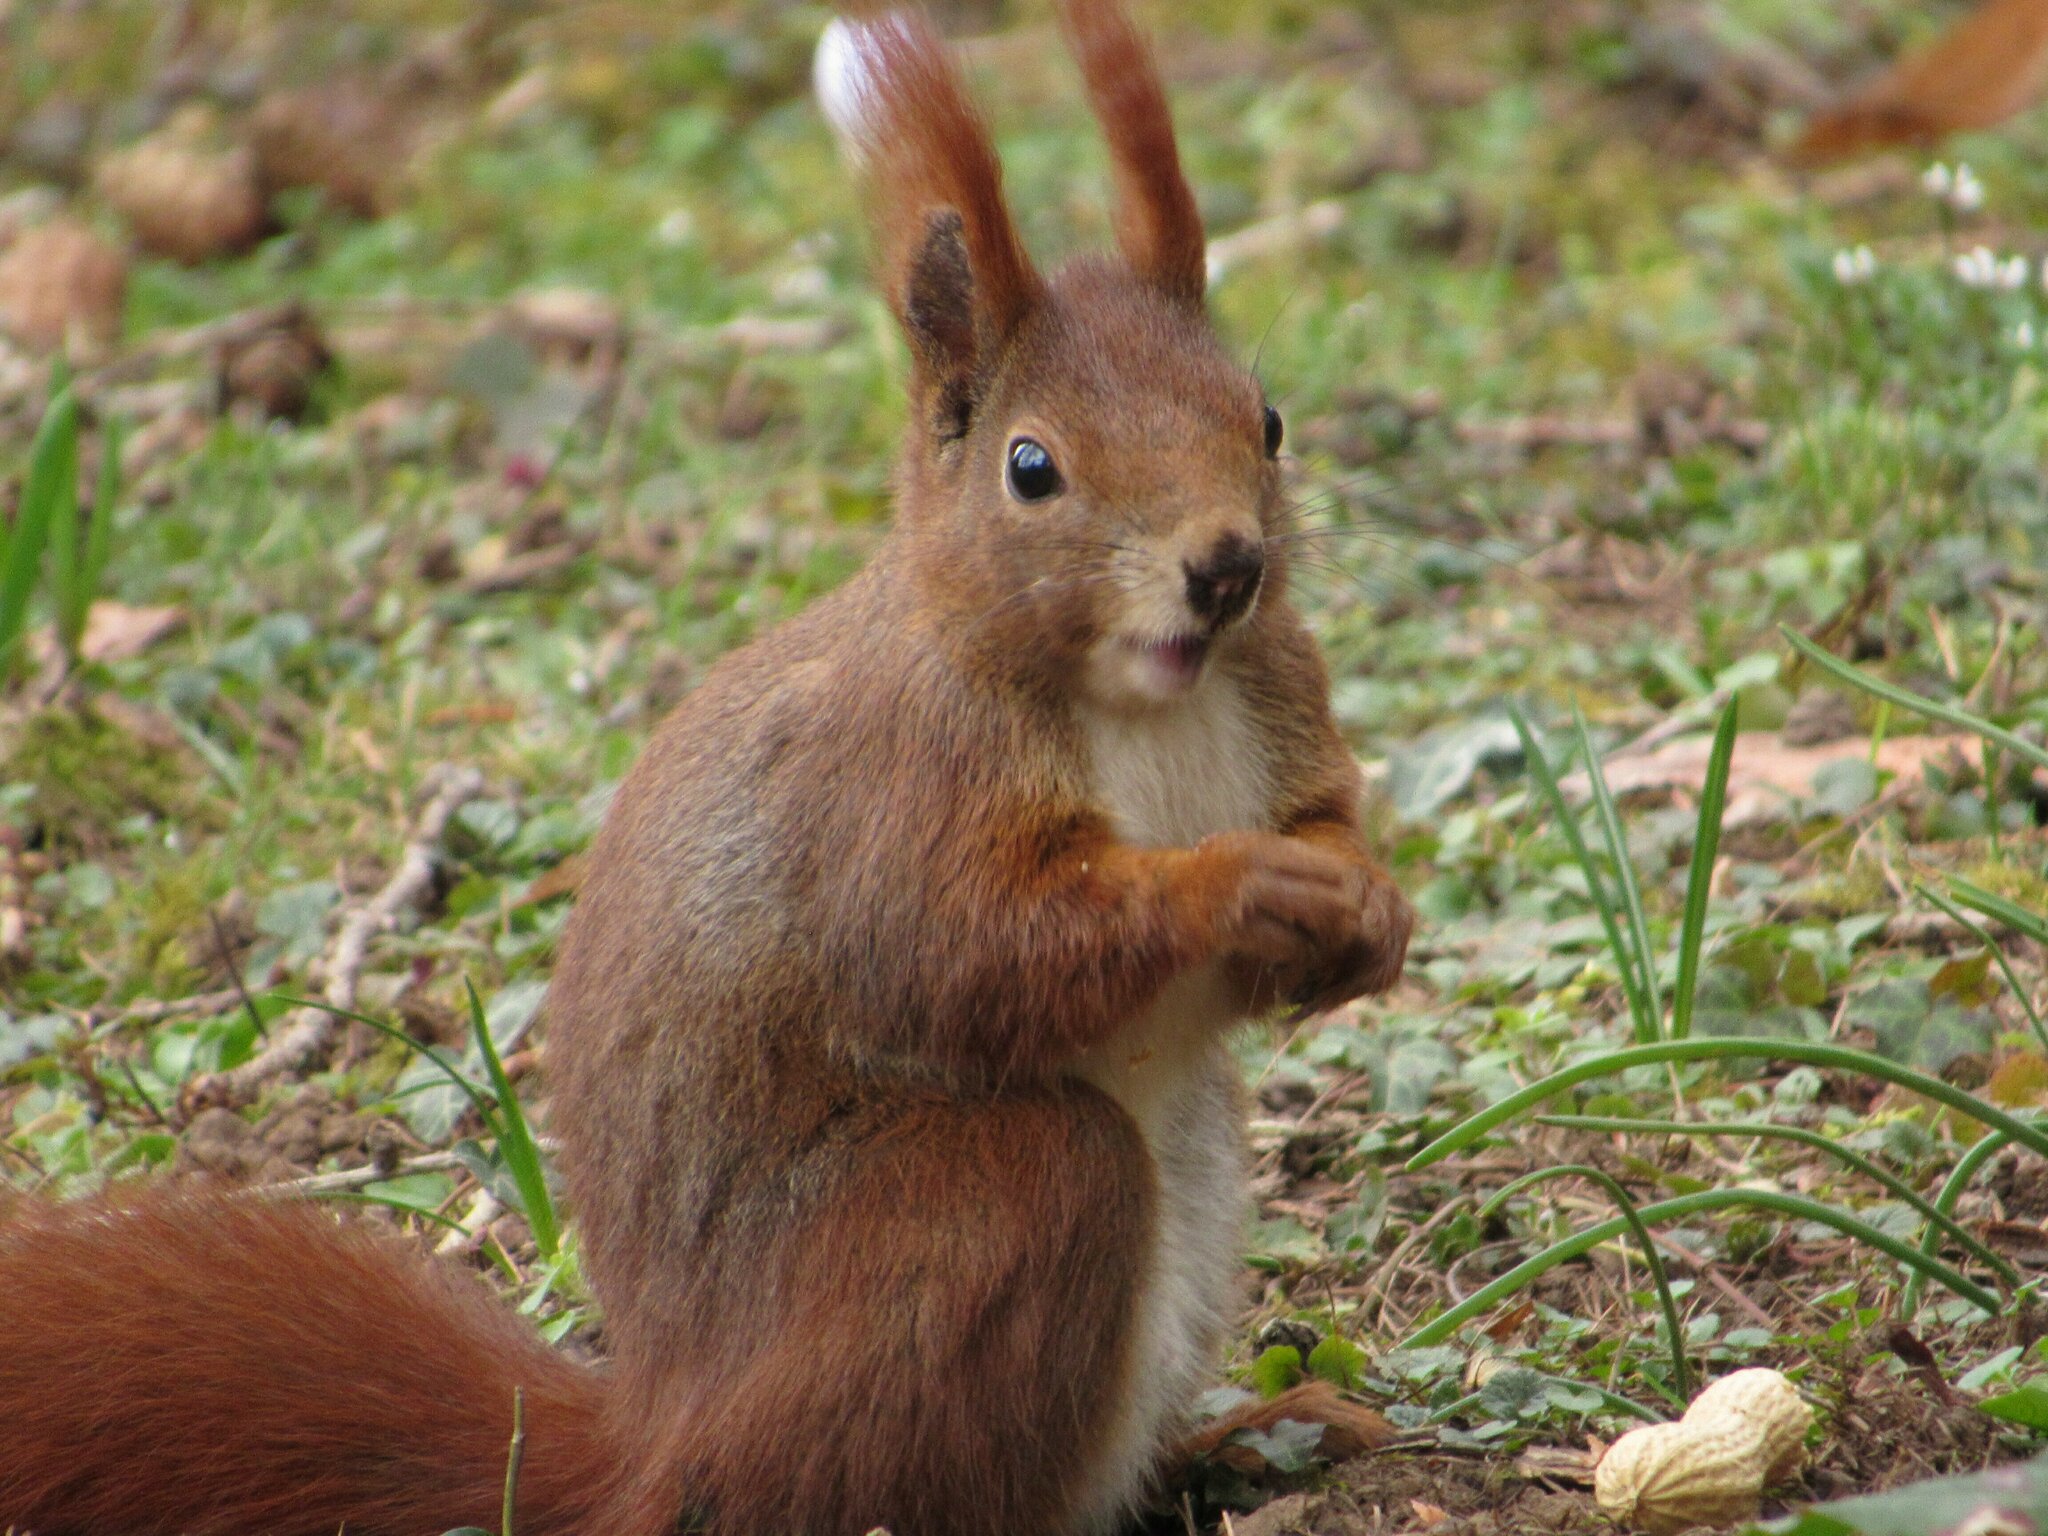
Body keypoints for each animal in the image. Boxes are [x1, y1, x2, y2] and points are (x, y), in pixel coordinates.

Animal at [0, 4, 1414, 1534]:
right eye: (1032, 468)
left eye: (1265, 421)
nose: (1227, 567)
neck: (1148, 694)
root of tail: (661, 1447)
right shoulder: (899, 783)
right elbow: (965, 952)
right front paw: (1244, 883)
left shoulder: (1277, 690)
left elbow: (1318, 819)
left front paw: (1366, 903)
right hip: (989, 1207)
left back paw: (1260, 1431)